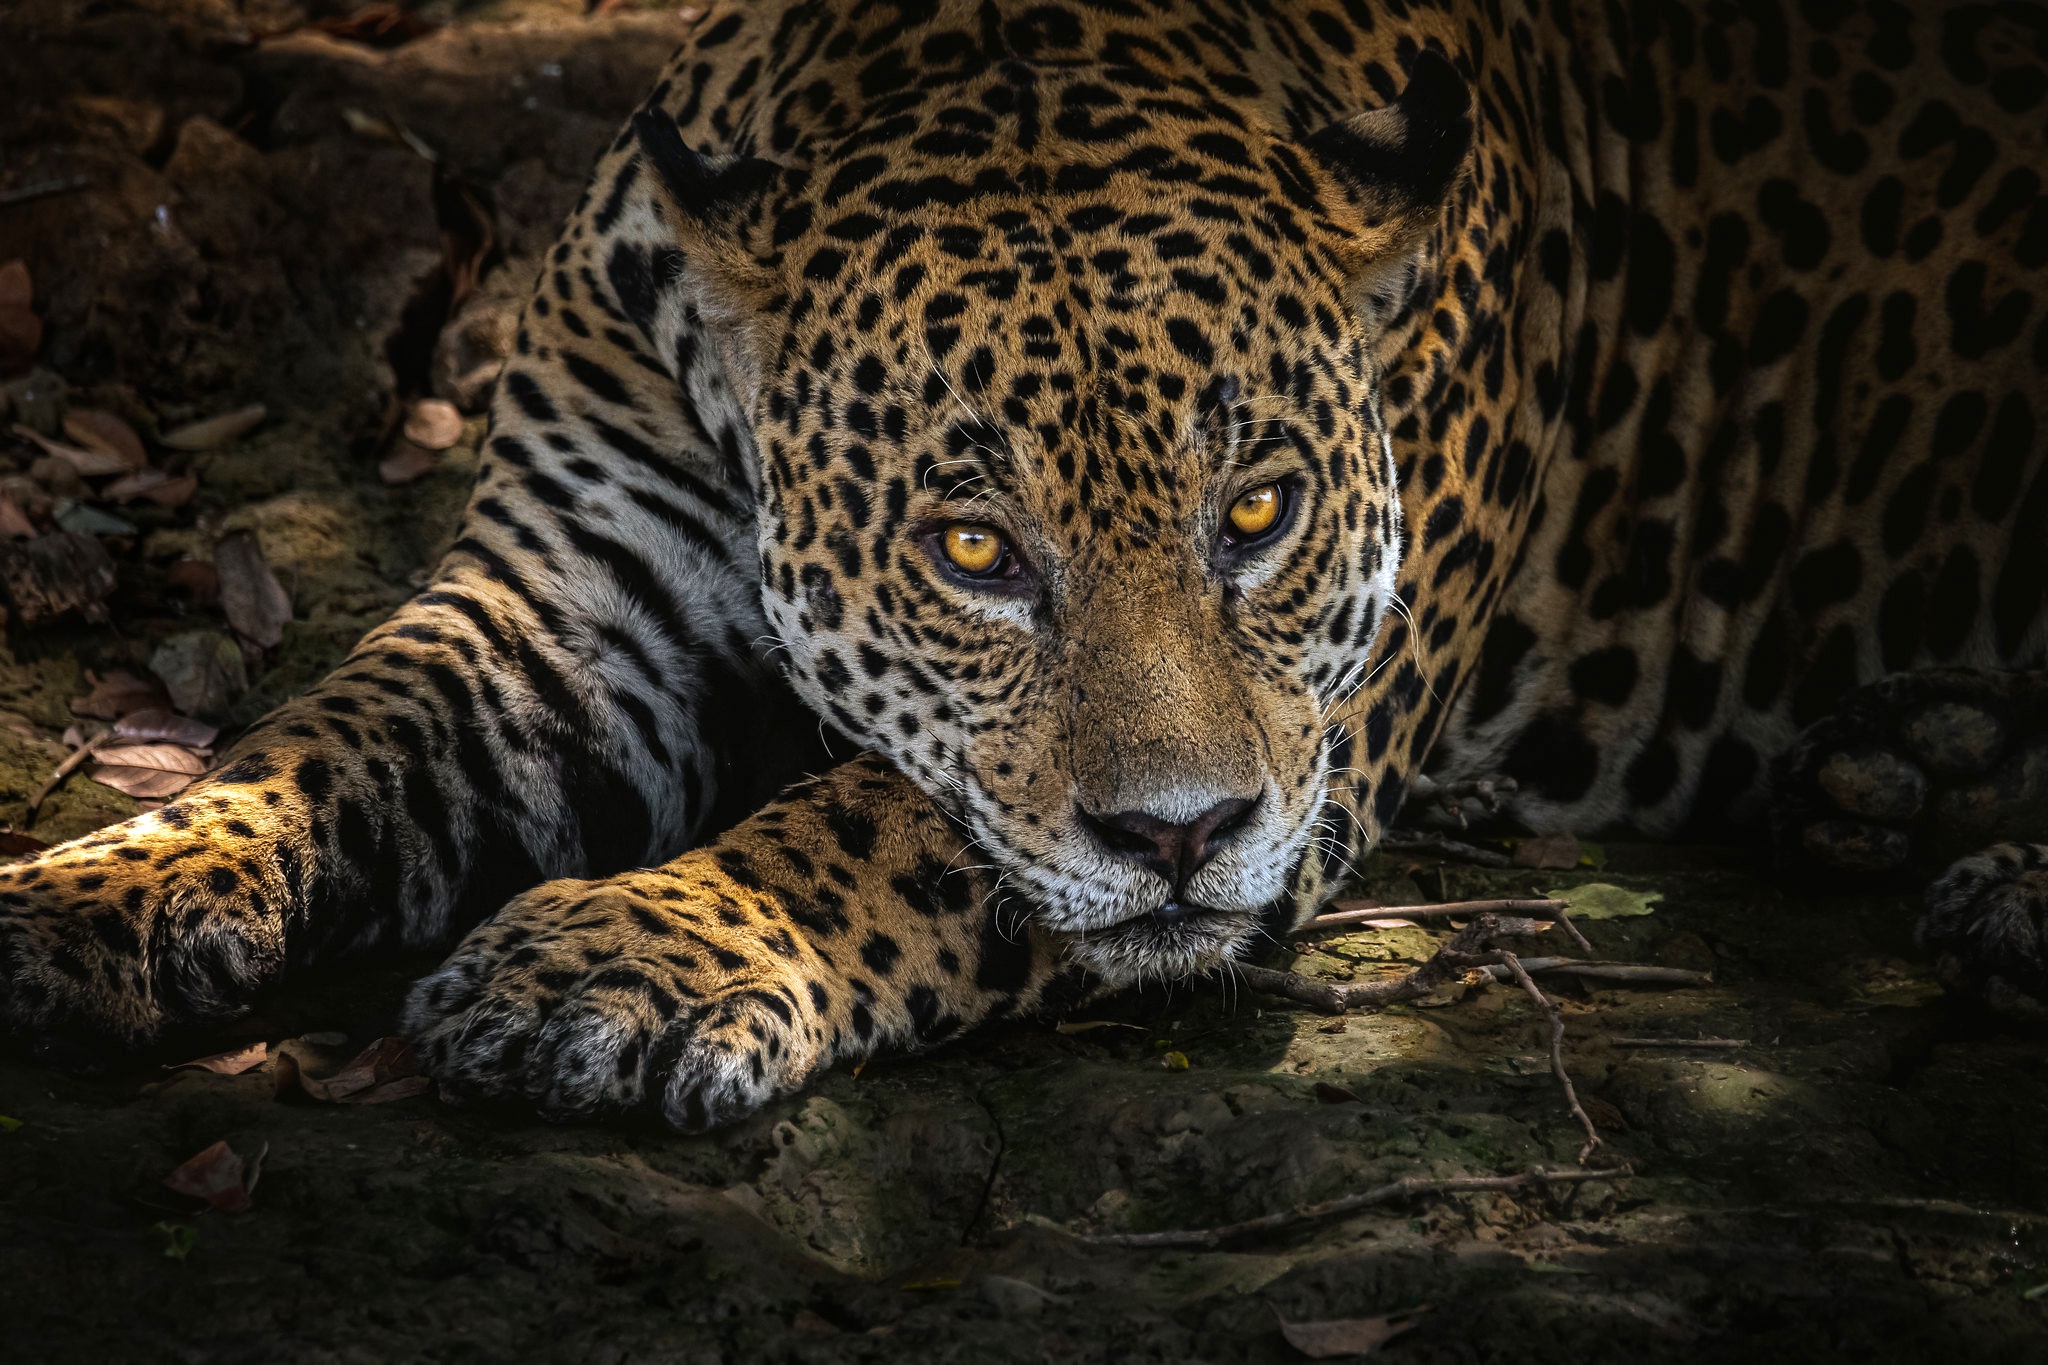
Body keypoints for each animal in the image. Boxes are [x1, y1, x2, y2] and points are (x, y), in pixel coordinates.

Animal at [2, 0, 2044, 1130]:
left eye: (1258, 515)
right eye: (975, 551)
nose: (1183, 837)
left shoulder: (1325, 741)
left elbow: (885, 827)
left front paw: (620, 961)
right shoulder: (570, 601)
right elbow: (317, 739)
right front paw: (88, 895)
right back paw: (1905, 766)